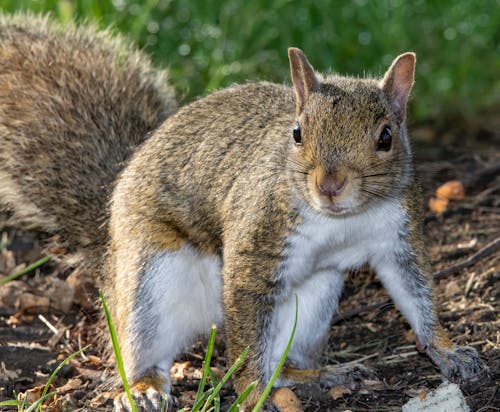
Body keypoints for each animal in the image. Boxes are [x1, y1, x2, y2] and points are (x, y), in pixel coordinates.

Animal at [0, 11, 488, 410]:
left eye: (386, 137)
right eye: (297, 132)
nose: (329, 186)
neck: (343, 219)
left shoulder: (398, 236)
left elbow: (415, 293)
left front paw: (447, 350)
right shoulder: (257, 241)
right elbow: (248, 336)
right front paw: (252, 397)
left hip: (312, 302)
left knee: (278, 360)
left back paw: (316, 375)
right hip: (150, 283)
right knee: (153, 346)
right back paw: (145, 388)